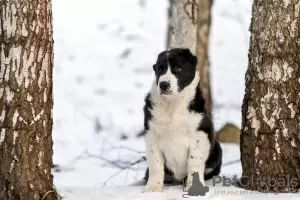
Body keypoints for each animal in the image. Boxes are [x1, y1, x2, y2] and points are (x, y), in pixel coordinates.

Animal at [143, 48, 223, 192]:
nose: (163, 84)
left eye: (178, 68)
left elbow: (194, 162)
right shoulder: (151, 134)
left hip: (217, 150)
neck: (173, 105)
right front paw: (153, 189)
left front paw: (194, 187)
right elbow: (155, 163)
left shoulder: (200, 134)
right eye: (160, 69)